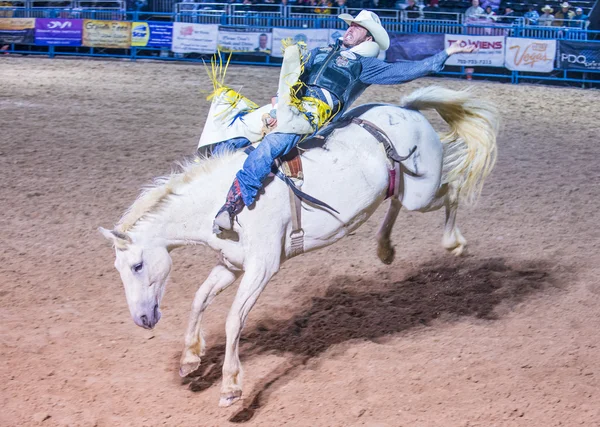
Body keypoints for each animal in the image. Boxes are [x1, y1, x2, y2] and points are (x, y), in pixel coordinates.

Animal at [101, 83, 500, 408]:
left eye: (137, 265)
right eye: (119, 270)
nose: (142, 320)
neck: (224, 200)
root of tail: (407, 109)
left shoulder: (262, 268)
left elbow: (233, 320)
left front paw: (231, 387)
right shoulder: (231, 266)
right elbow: (199, 299)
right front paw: (190, 360)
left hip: (424, 191)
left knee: (453, 190)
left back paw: (453, 243)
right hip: (403, 186)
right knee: (398, 200)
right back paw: (385, 248)